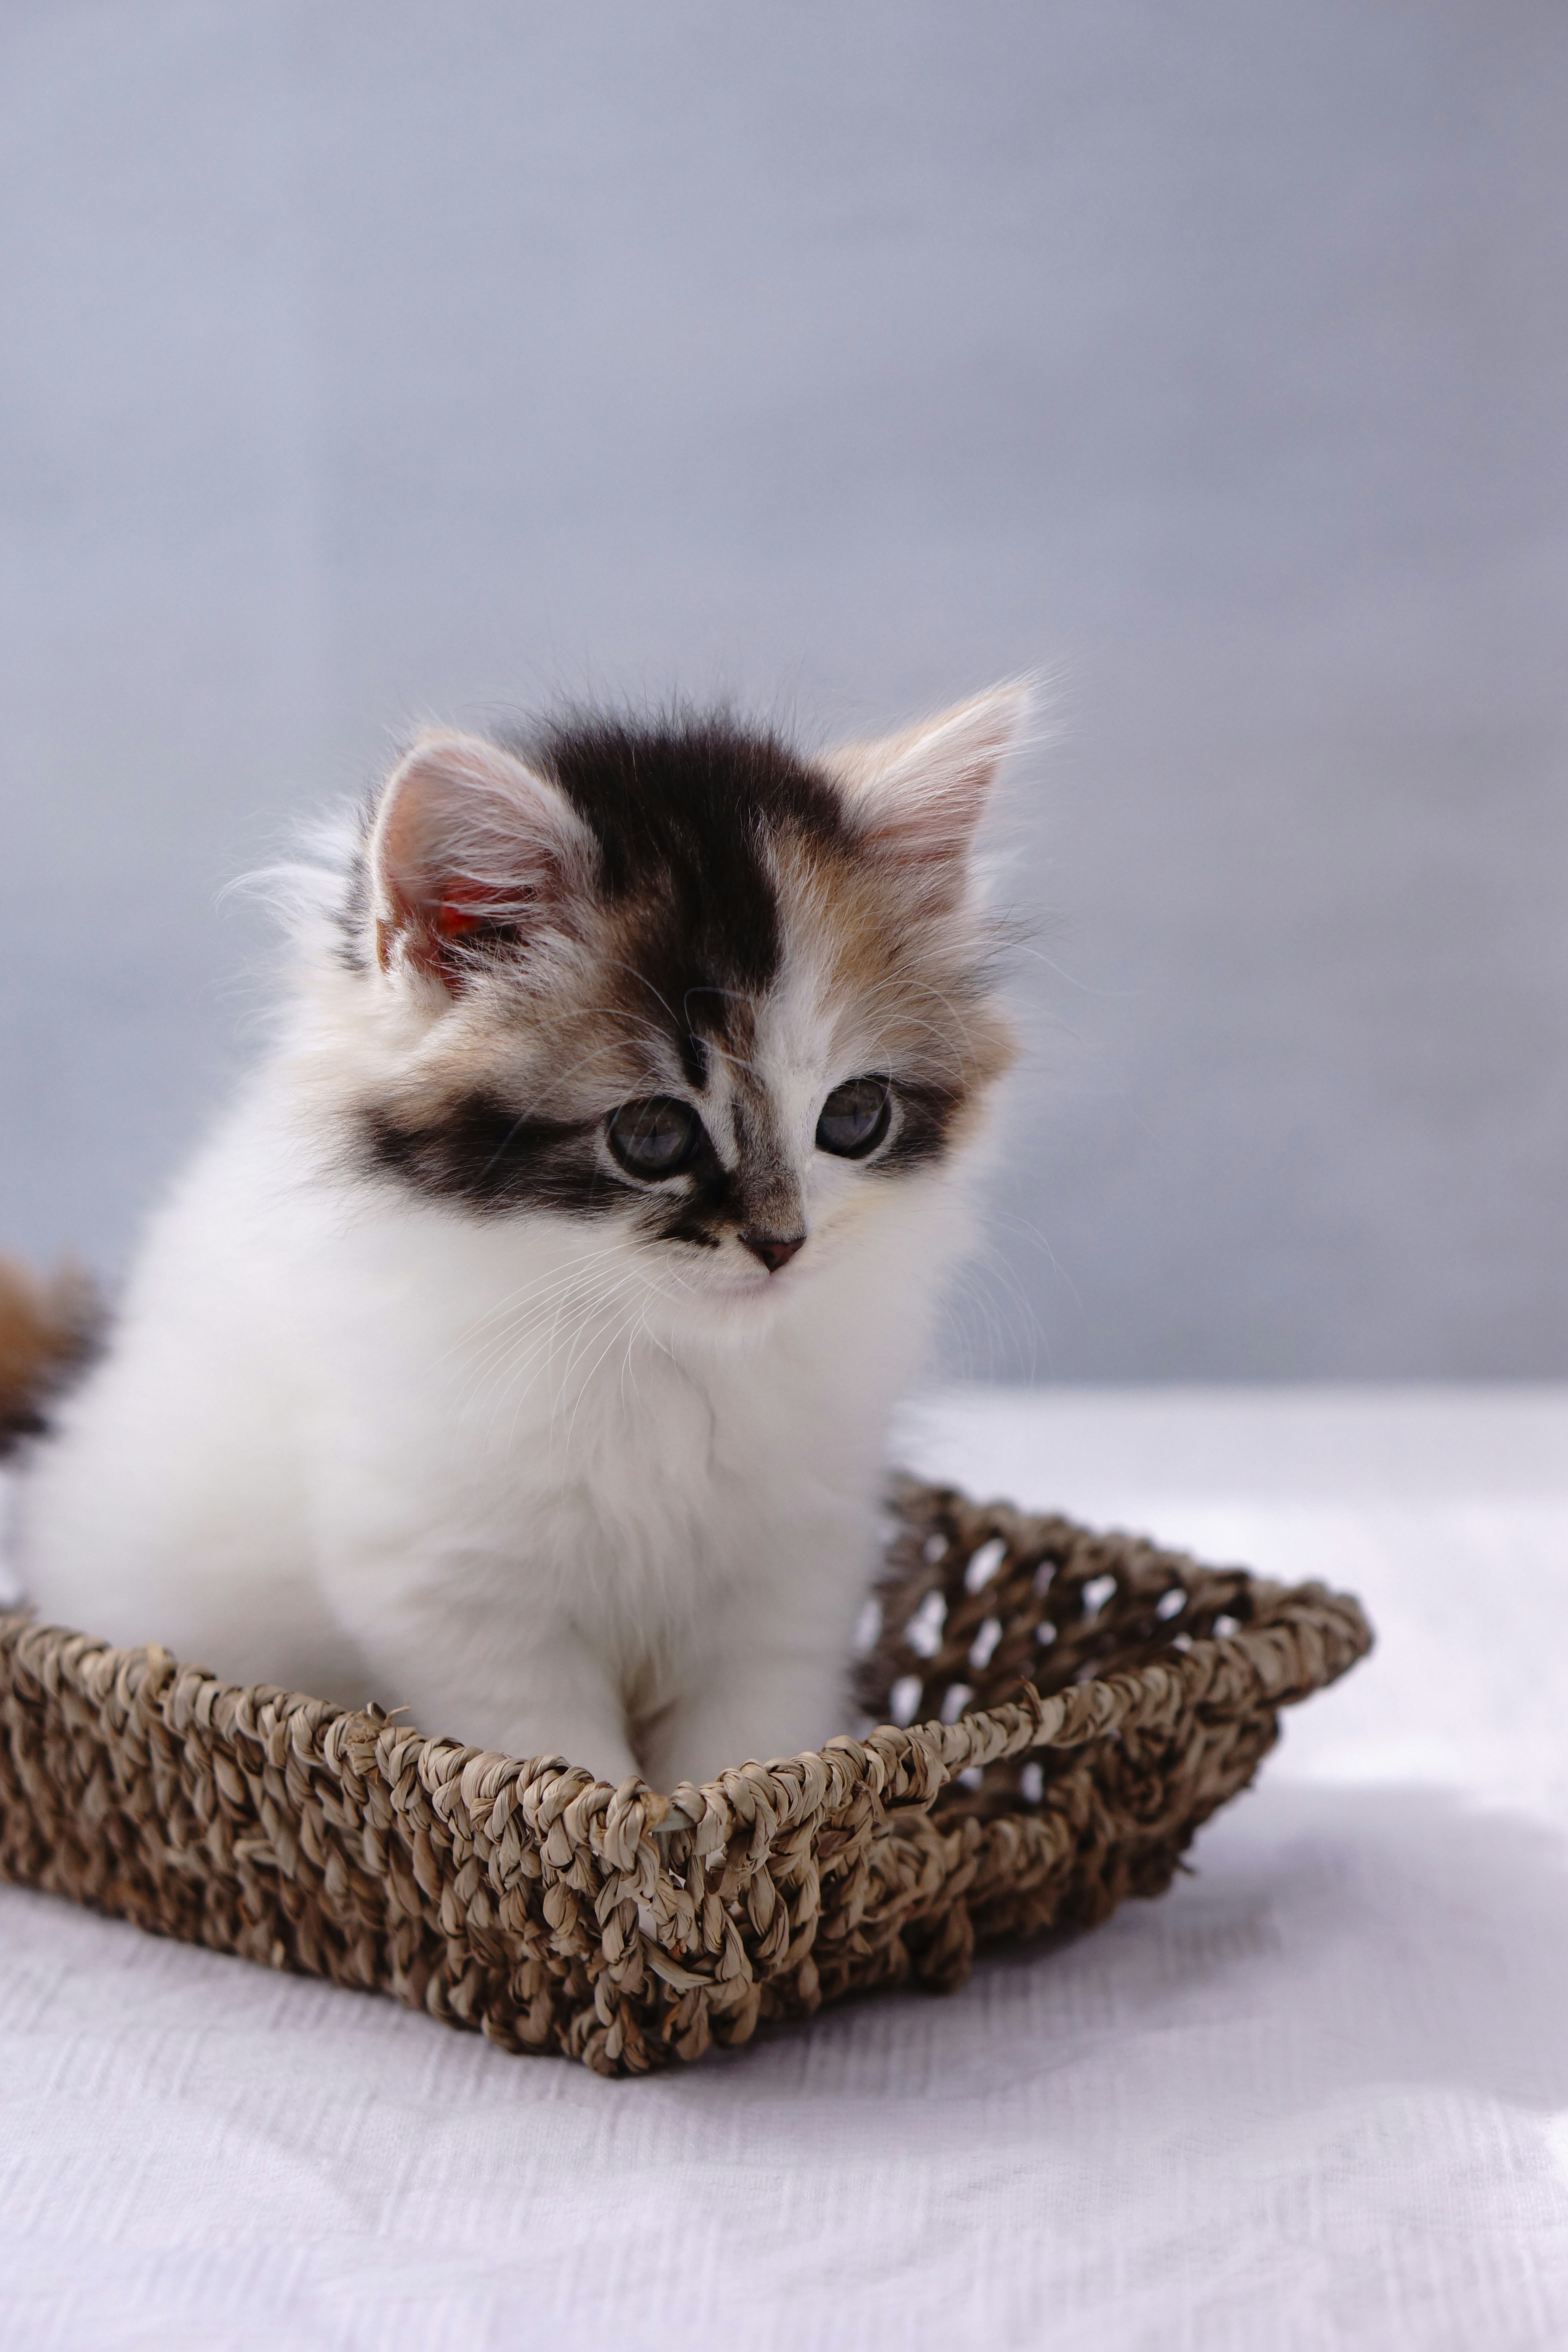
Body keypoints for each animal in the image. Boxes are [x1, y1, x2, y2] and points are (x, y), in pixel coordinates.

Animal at [12, 686, 1029, 1787]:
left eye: (852, 1117)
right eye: (652, 1135)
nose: (781, 1243)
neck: (662, 1355)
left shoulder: (793, 1570)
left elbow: (749, 1751)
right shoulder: (456, 1589)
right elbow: (551, 1759)